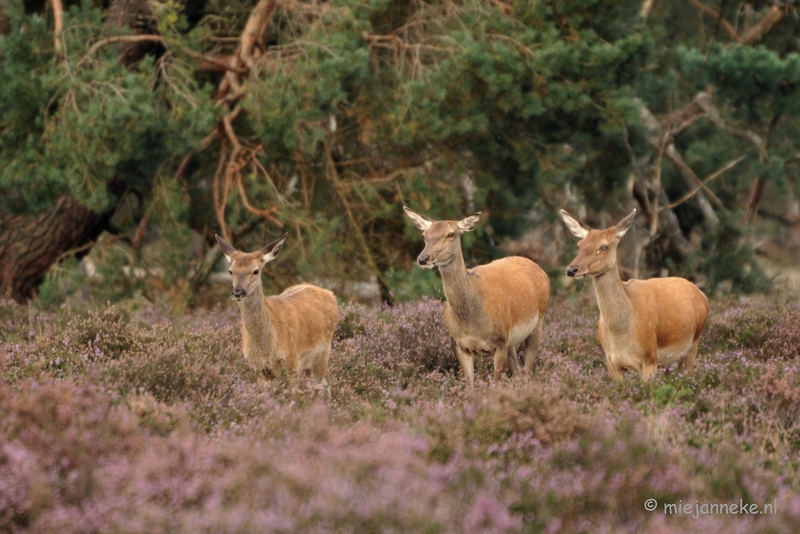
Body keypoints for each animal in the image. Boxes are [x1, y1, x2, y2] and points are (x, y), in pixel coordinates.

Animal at [214, 234, 340, 394]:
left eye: (255, 271)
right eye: (230, 271)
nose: (238, 292)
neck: (267, 350)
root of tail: (330, 294)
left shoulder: (291, 363)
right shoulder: (258, 368)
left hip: (323, 352)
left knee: (322, 386)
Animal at [406, 207, 552, 388]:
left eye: (451, 234)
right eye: (424, 235)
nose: (423, 258)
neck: (473, 322)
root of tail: (541, 271)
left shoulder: (499, 342)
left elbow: (496, 385)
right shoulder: (461, 345)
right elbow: (470, 386)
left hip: (538, 324)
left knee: (527, 371)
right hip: (511, 340)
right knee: (519, 372)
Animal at [560, 208, 708, 382]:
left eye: (604, 246)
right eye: (580, 245)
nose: (571, 269)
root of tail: (702, 295)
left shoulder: (650, 358)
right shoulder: (612, 362)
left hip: (693, 345)